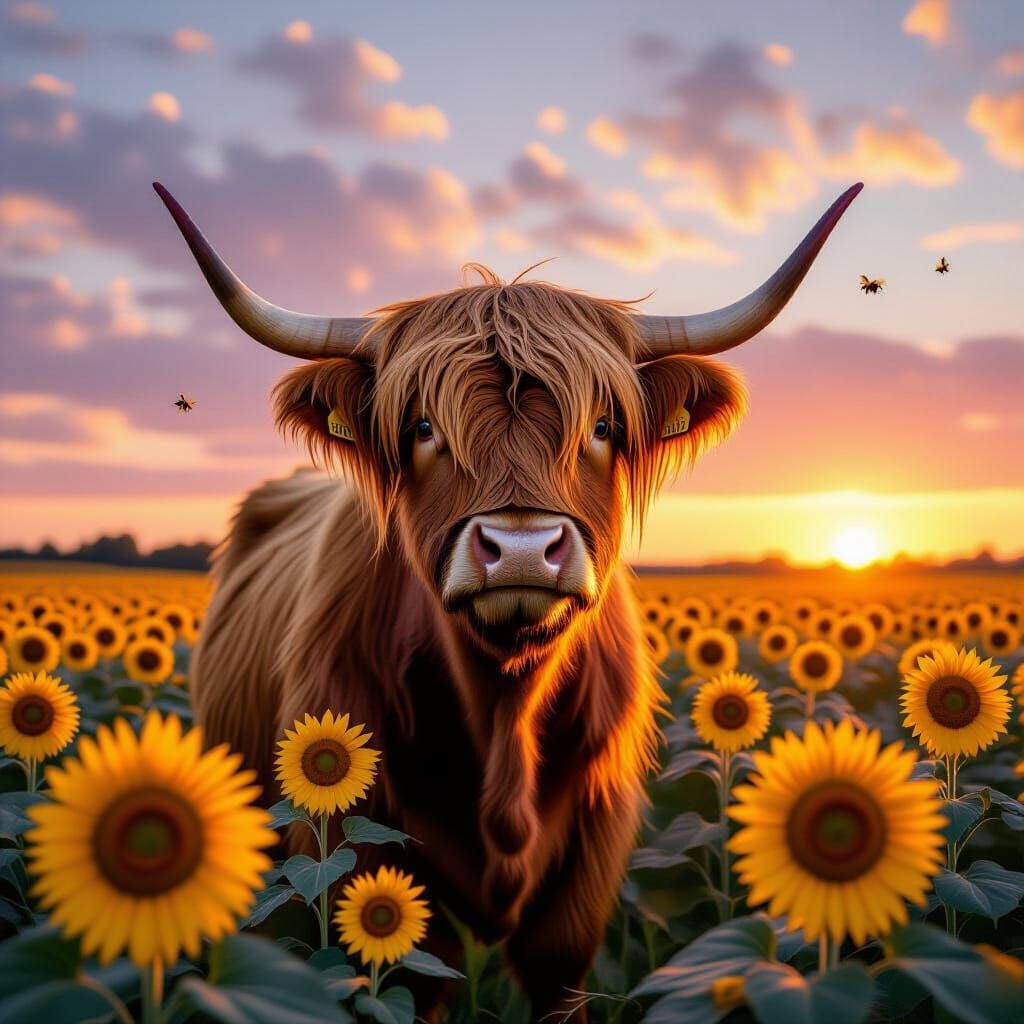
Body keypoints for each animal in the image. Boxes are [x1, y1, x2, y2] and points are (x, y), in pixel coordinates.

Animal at [154, 180, 861, 1020]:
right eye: (423, 426)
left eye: (603, 425)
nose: (521, 548)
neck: (504, 716)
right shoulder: (362, 849)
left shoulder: (584, 878)